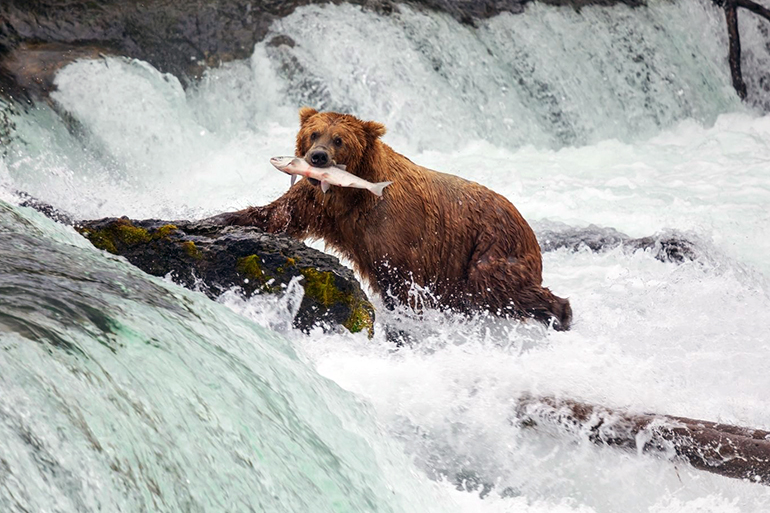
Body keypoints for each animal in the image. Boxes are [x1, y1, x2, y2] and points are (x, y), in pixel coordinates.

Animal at [213, 109, 568, 328]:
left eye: (339, 139)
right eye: (314, 133)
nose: (318, 157)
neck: (352, 193)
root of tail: (524, 221)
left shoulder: (395, 227)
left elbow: (401, 278)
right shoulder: (320, 204)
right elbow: (278, 215)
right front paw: (219, 218)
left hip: (489, 246)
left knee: (496, 286)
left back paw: (560, 313)